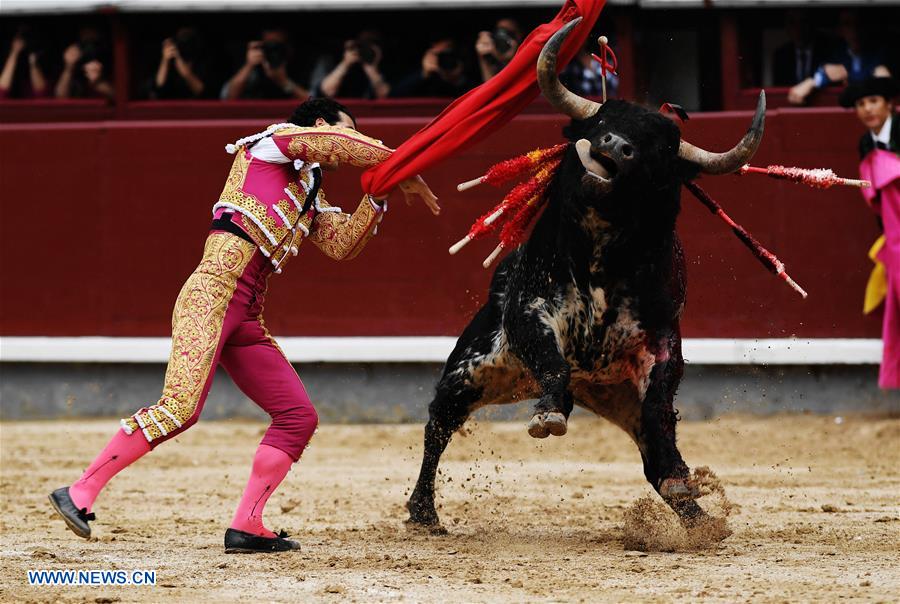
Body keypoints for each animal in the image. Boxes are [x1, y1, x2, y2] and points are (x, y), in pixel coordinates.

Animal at [408, 18, 768, 528]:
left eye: (658, 150)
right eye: (601, 124)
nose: (616, 145)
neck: (602, 248)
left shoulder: (662, 337)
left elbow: (661, 405)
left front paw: (681, 477)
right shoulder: (531, 312)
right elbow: (552, 361)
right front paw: (548, 416)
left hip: (615, 394)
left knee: (654, 457)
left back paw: (697, 515)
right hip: (473, 367)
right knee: (440, 422)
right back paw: (423, 510)